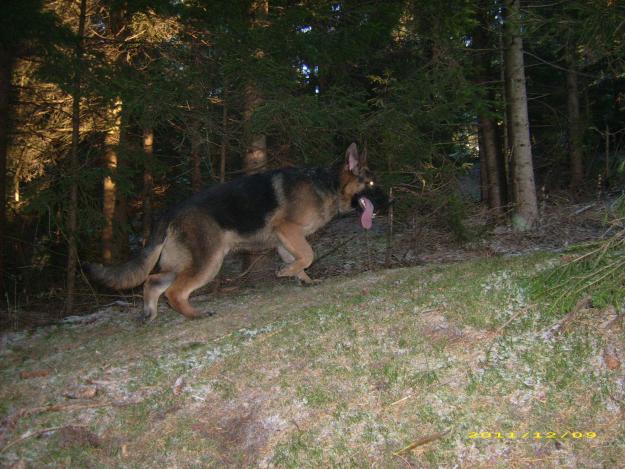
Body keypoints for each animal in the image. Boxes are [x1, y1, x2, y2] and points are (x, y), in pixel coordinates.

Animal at [86, 143, 380, 322]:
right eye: (371, 184)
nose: (386, 205)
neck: (327, 184)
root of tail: (171, 211)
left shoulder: (285, 241)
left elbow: (300, 259)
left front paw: (303, 279)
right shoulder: (288, 230)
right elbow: (308, 255)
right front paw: (287, 273)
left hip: (180, 262)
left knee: (153, 281)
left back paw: (149, 313)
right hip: (208, 261)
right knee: (175, 292)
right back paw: (195, 314)